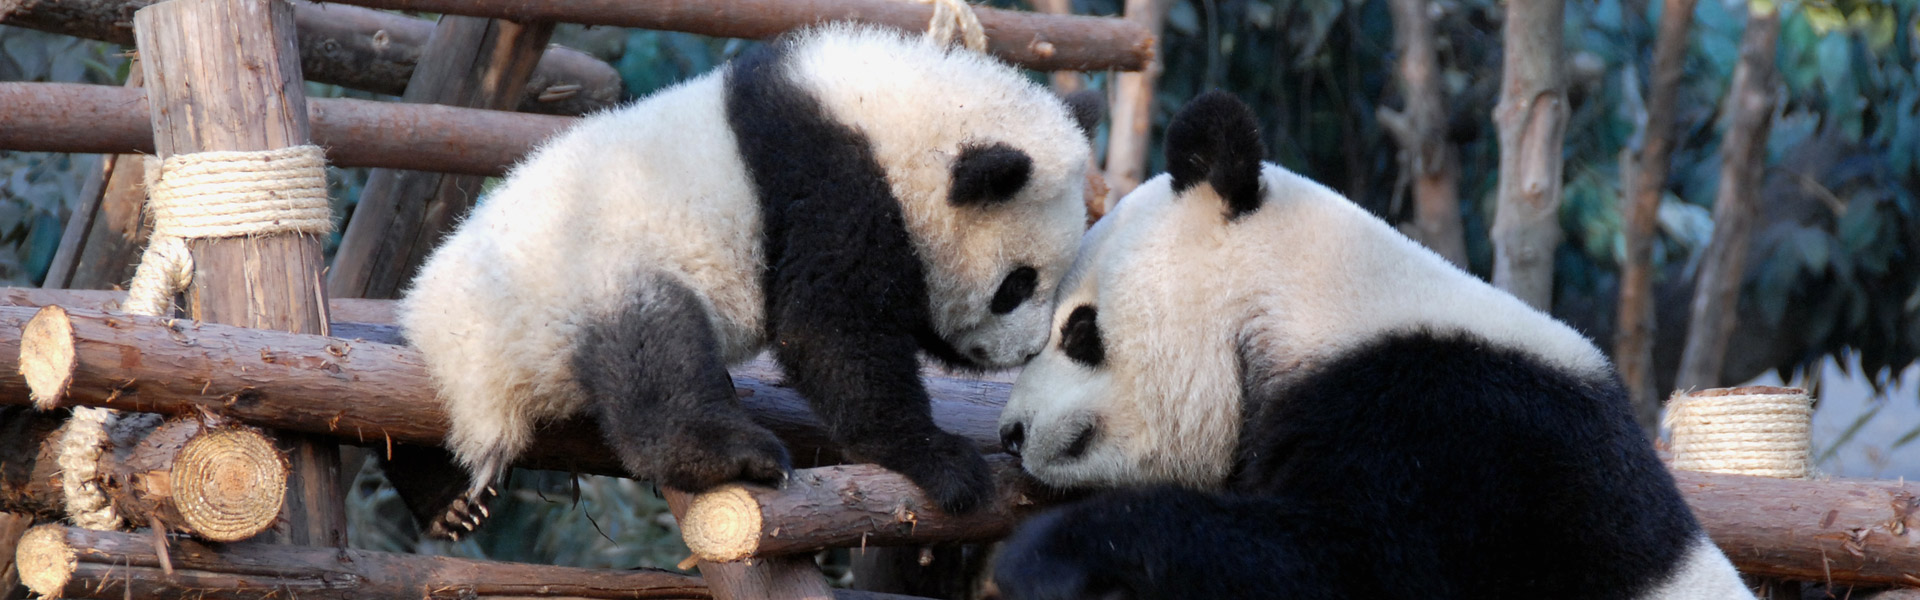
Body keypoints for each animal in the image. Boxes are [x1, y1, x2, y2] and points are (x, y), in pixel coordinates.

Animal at [396, 23, 1096, 536]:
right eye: (1017, 284)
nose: (1024, 351)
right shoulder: (832, 181)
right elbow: (830, 331)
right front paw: (941, 461)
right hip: (580, 283)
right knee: (657, 356)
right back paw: (732, 453)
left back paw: (444, 501)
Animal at [990, 92, 1755, 600]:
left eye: (1079, 329)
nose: (1011, 432)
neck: (1307, 301)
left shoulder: (1460, 439)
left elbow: (1351, 565)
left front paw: (1049, 556)